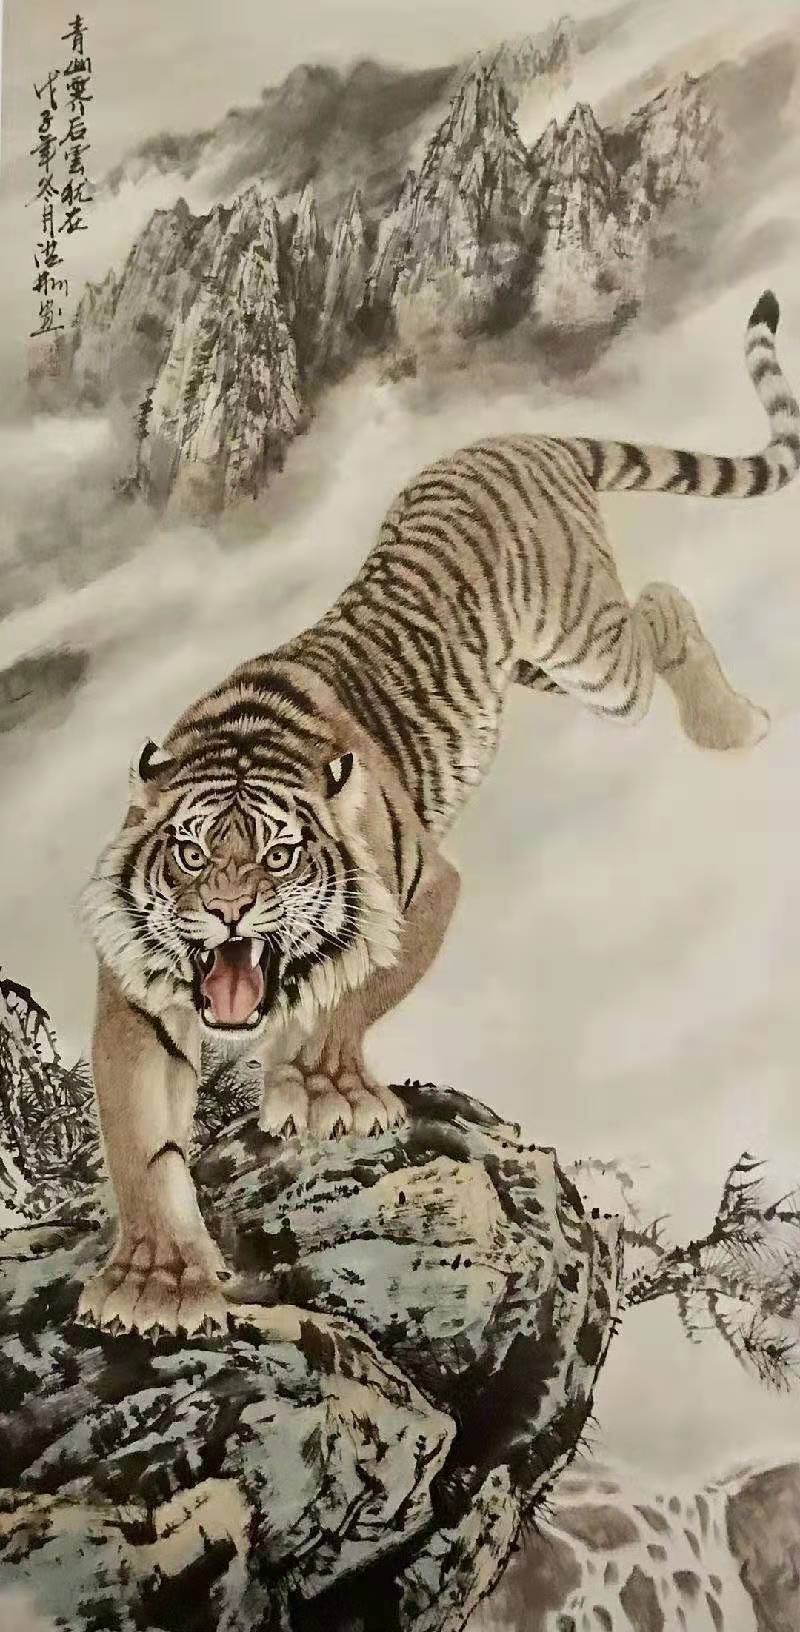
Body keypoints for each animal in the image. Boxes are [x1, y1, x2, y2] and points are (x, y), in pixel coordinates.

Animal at [78, 290, 800, 1337]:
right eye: (189, 855)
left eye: (280, 857)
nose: (225, 914)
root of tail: (515, 436)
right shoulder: (136, 991)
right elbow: (140, 1138)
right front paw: (156, 1281)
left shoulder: (426, 890)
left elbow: (357, 994)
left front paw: (321, 1090)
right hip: (532, 669)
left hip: (590, 653)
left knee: (661, 607)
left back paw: (734, 725)